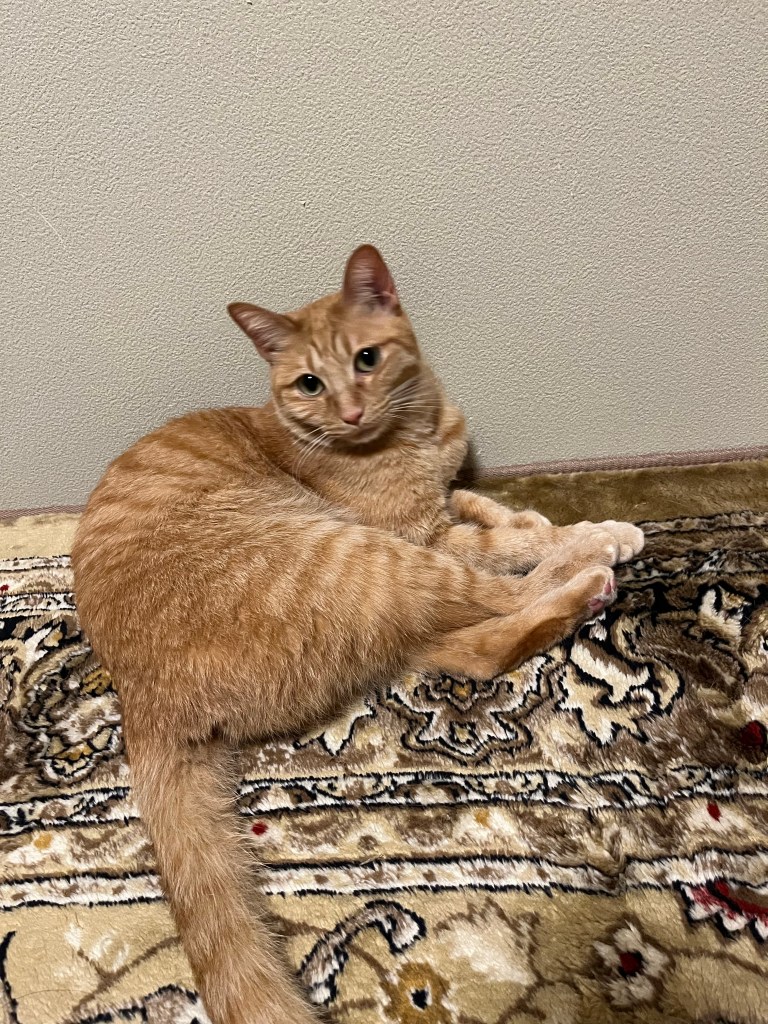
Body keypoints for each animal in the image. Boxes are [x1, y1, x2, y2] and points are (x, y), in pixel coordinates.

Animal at [71, 245, 643, 1024]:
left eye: (367, 359)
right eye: (309, 383)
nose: (348, 409)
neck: (416, 430)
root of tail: (142, 698)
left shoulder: (446, 503)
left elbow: (499, 511)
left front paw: (532, 514)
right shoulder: (424, 534)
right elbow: (512, 542)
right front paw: (592, 532)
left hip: (386, 601)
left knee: (475, 646)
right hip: (367, 557)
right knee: (498, 600)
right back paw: (591, 571)